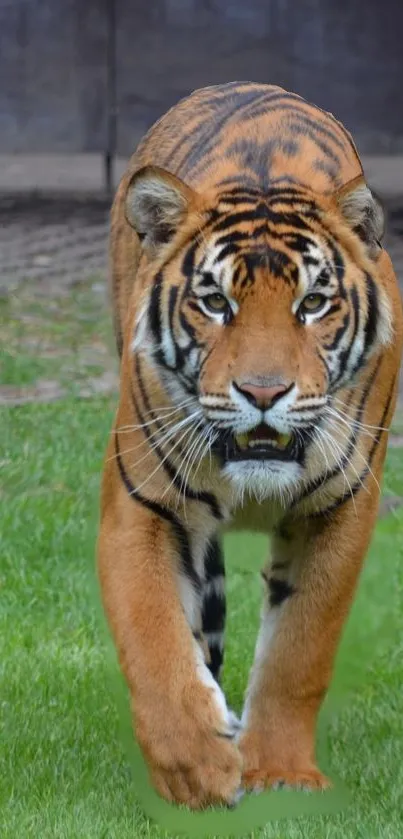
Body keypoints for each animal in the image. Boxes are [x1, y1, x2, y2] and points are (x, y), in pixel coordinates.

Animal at [98, 82, 403, 812]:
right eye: (214, 302)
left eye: (313, 302)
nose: (263, 392)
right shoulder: (141, 505)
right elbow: (153, 642)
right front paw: (197, 769)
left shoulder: (341, 509)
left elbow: (299, 650)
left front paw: (281, 772)